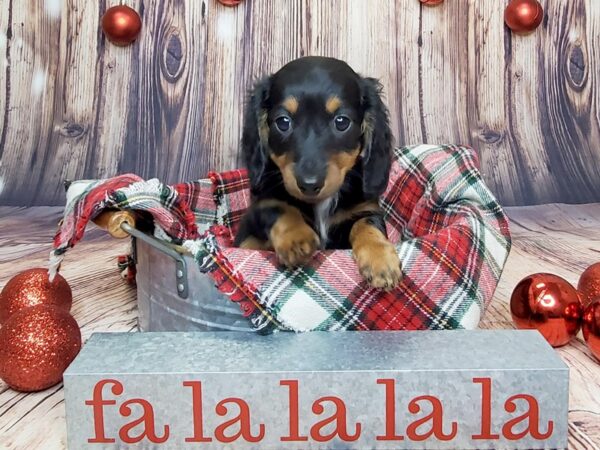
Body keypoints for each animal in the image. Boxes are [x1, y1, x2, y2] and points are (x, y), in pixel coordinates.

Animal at [237, 56, 400, 290]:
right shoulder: (259, 208)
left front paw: (380, 259)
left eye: (342, 121)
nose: (309, 185)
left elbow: (367, 224)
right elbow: (279, 208)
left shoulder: (365, 209)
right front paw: (296, 238)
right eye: (283, 122)